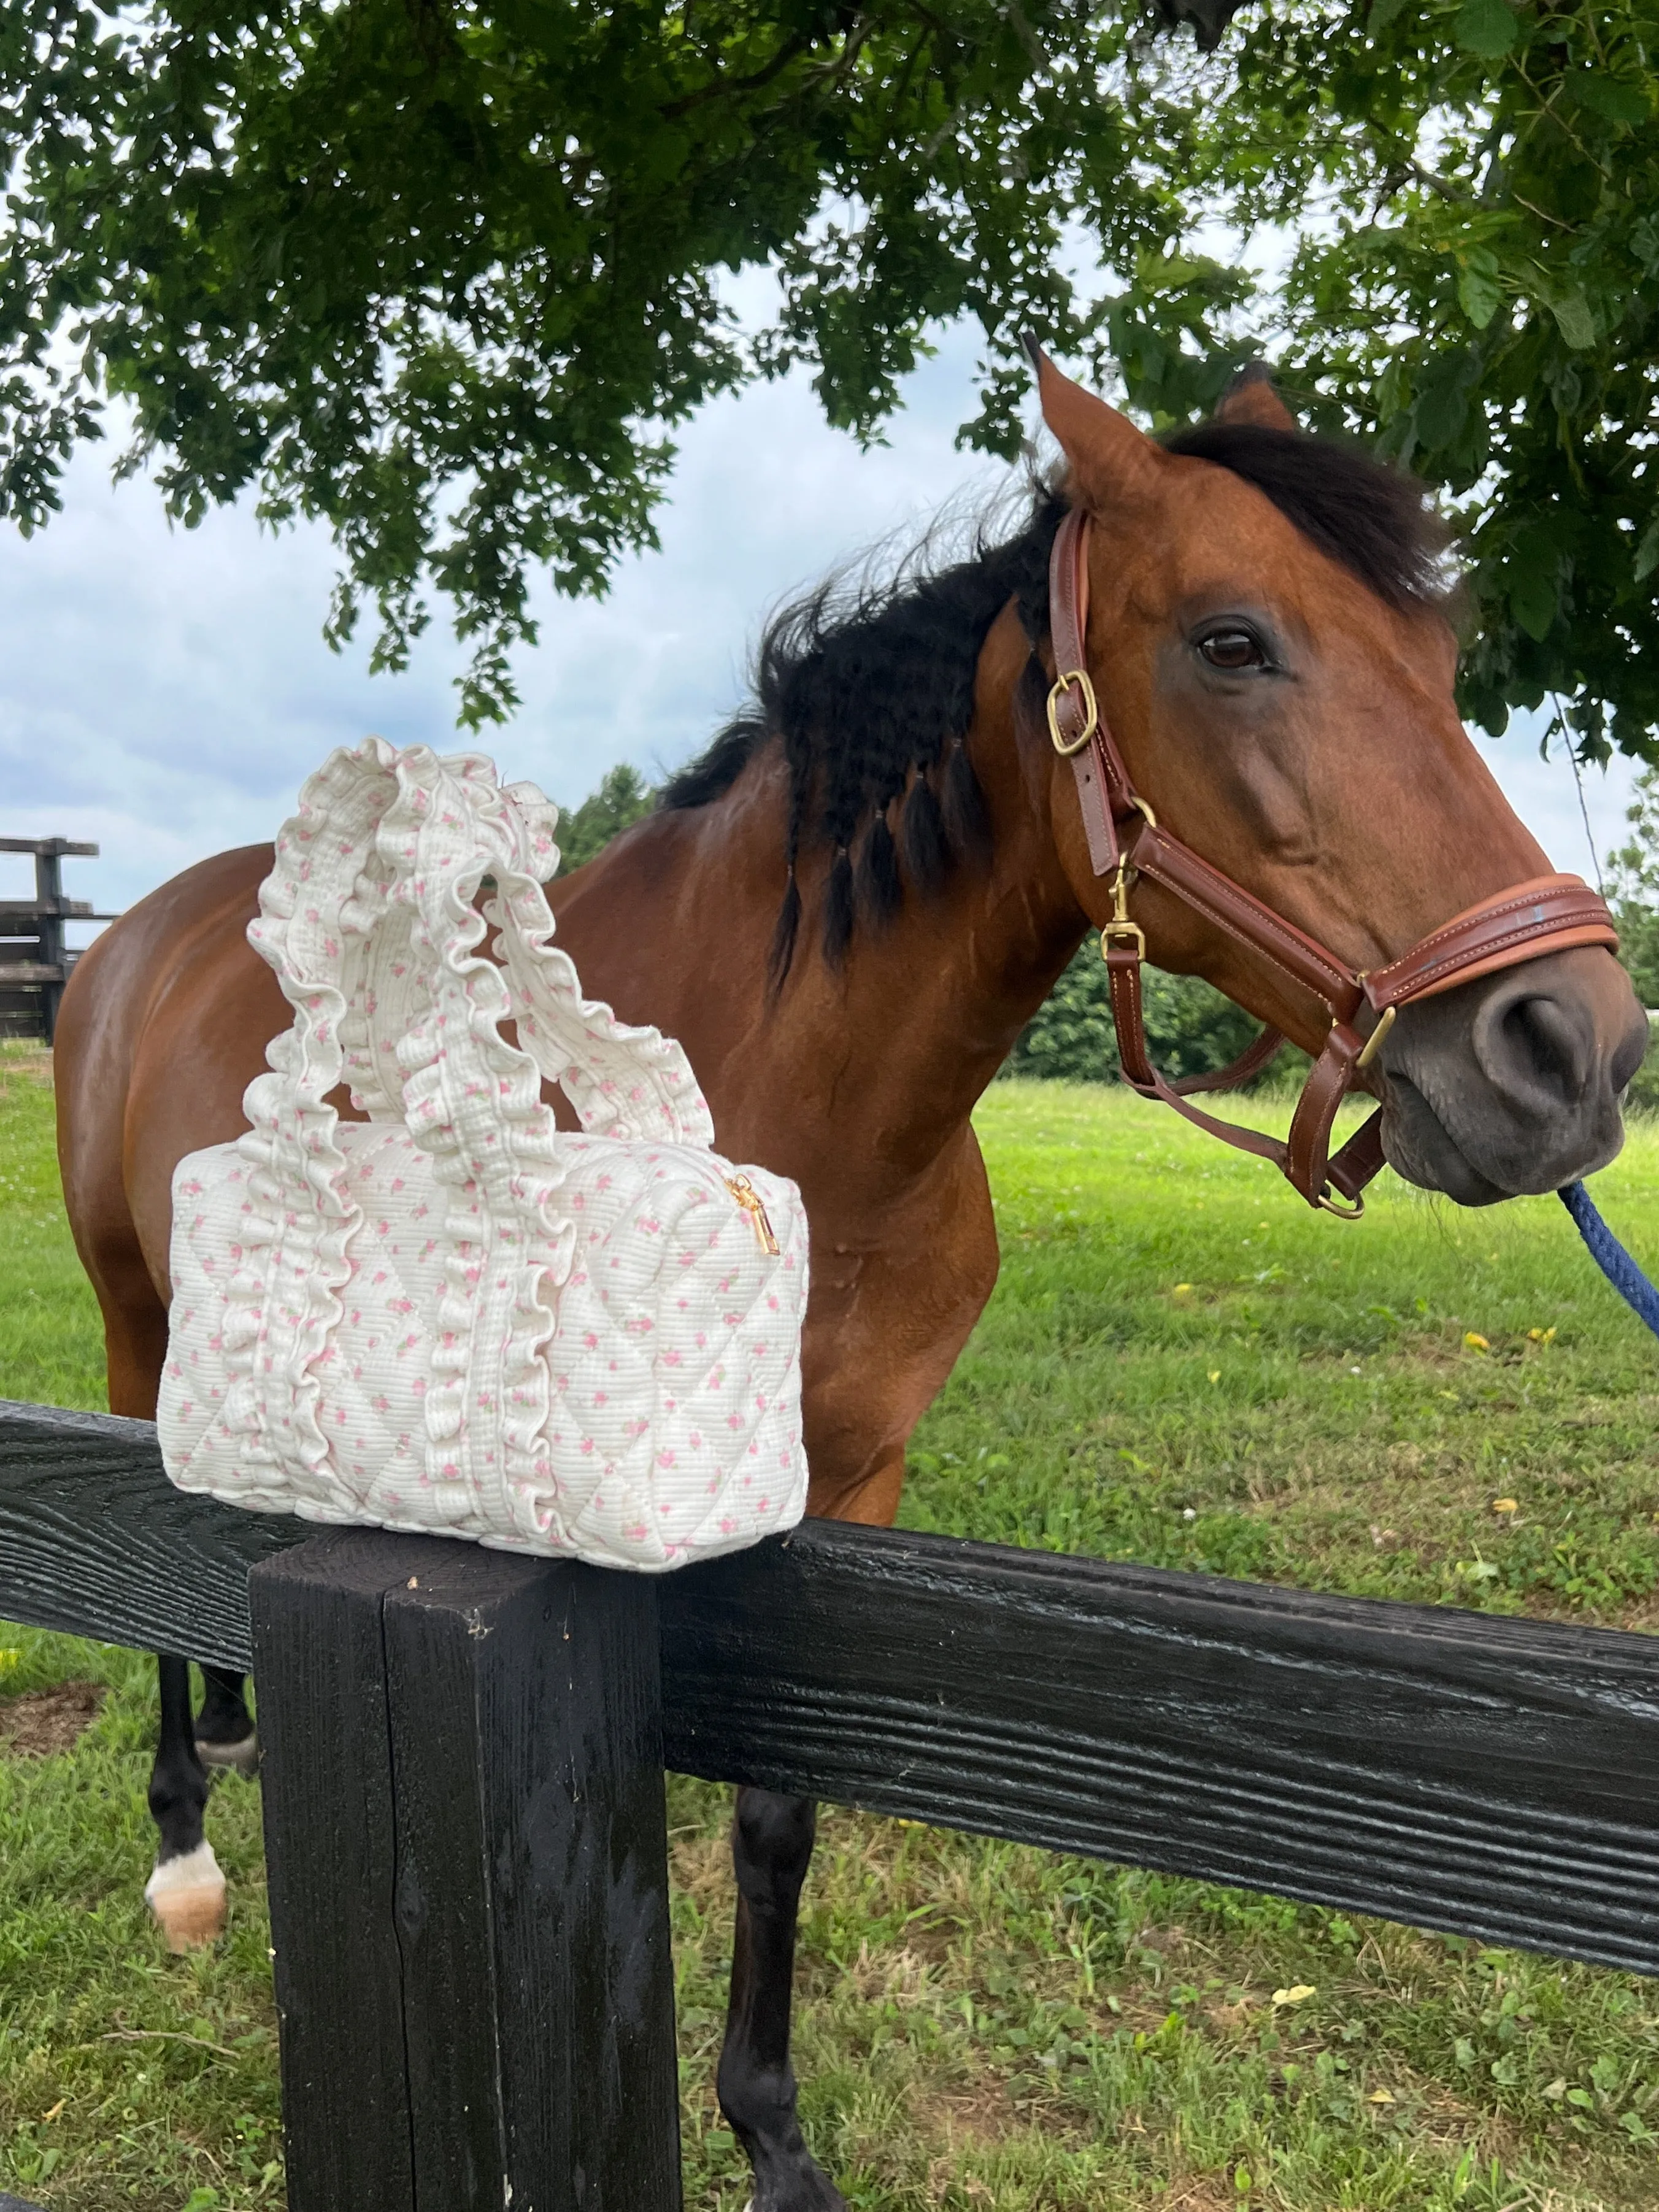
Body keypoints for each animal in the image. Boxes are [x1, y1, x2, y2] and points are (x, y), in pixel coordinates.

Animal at [55, 353, 1654, 2203]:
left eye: (1449, 666)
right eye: (1233, 640)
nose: (1573, 1050)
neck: (793, 1121)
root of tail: (140, 930)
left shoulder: (852, 1479)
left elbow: (781, 1809)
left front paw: (772, 2131)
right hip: (130, 1313)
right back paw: (183, 1838)